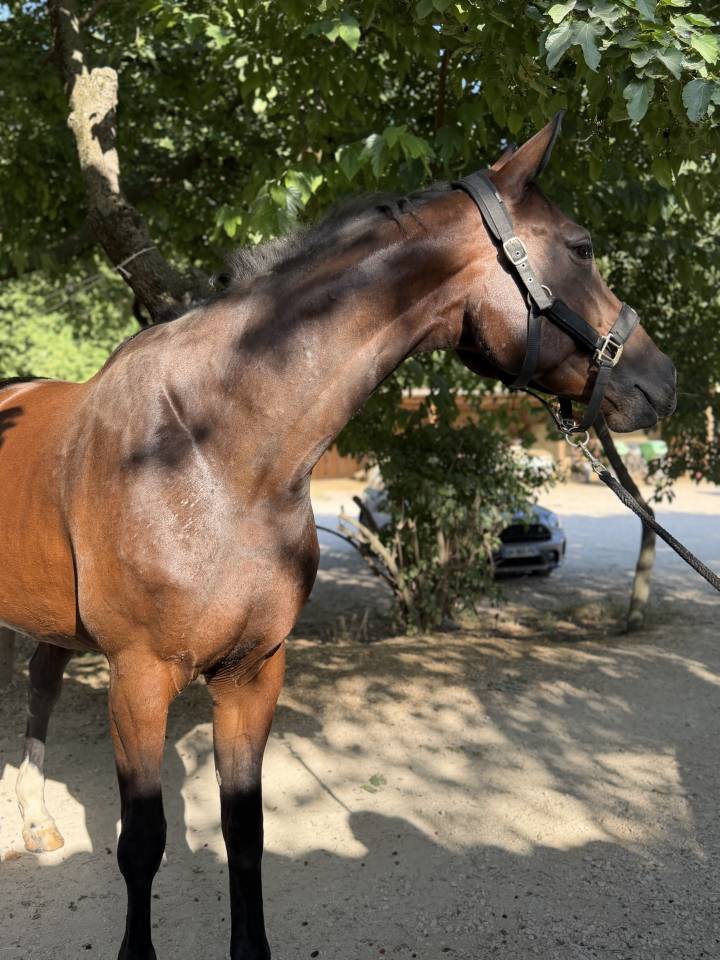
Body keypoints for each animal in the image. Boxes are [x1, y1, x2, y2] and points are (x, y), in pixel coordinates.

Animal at [0, 115, 676, 960]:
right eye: (581, 247)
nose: (664, 380)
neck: (210, 453)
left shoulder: (253, 672)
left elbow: (245, 833)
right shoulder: (139, 678)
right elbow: (142, 844)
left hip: (53, 622)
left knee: (41, 687)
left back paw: (34, 823)